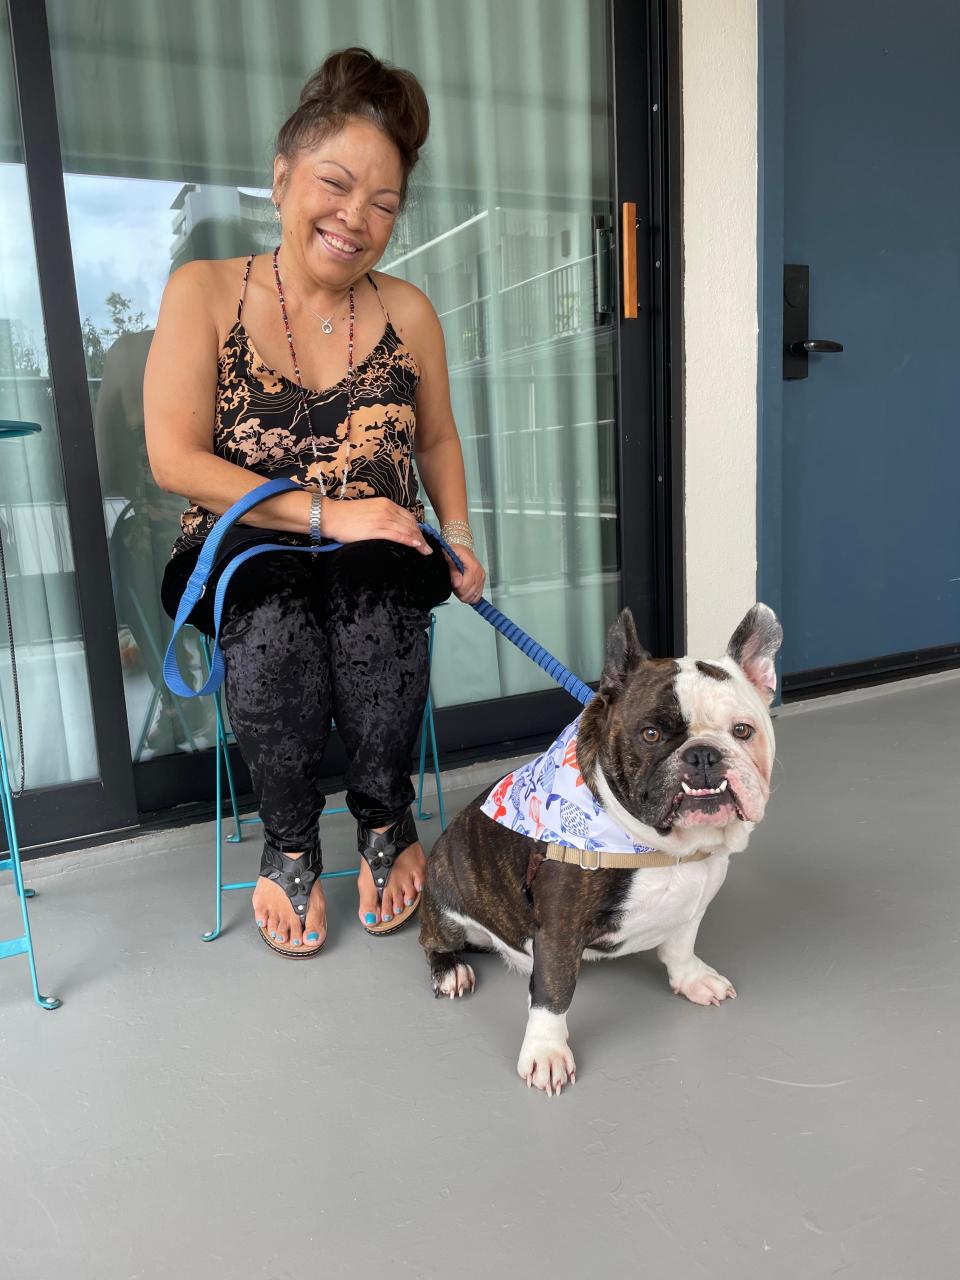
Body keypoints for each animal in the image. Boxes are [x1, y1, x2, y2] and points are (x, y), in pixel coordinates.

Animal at [419, 604, 783, 1095]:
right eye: (650, 734)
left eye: (743, 731)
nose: (704, 754)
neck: (659, 848)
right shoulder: (559, 930)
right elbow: (552, 996)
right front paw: (546, 1052)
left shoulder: (693, 903)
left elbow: (681, 946)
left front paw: (691, 979)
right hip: (443, 899)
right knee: (434, 940)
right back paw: (450, 970)